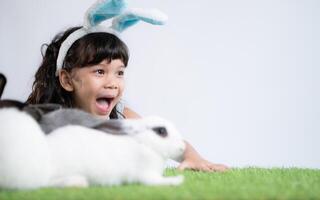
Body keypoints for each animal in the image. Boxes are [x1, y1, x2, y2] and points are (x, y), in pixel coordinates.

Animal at [0, 108, 185, 190]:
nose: (183, 148)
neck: (144, 143)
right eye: (161, 131)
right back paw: (78, 182)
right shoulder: (145, 174)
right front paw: (178, 180)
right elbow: (156, 182)